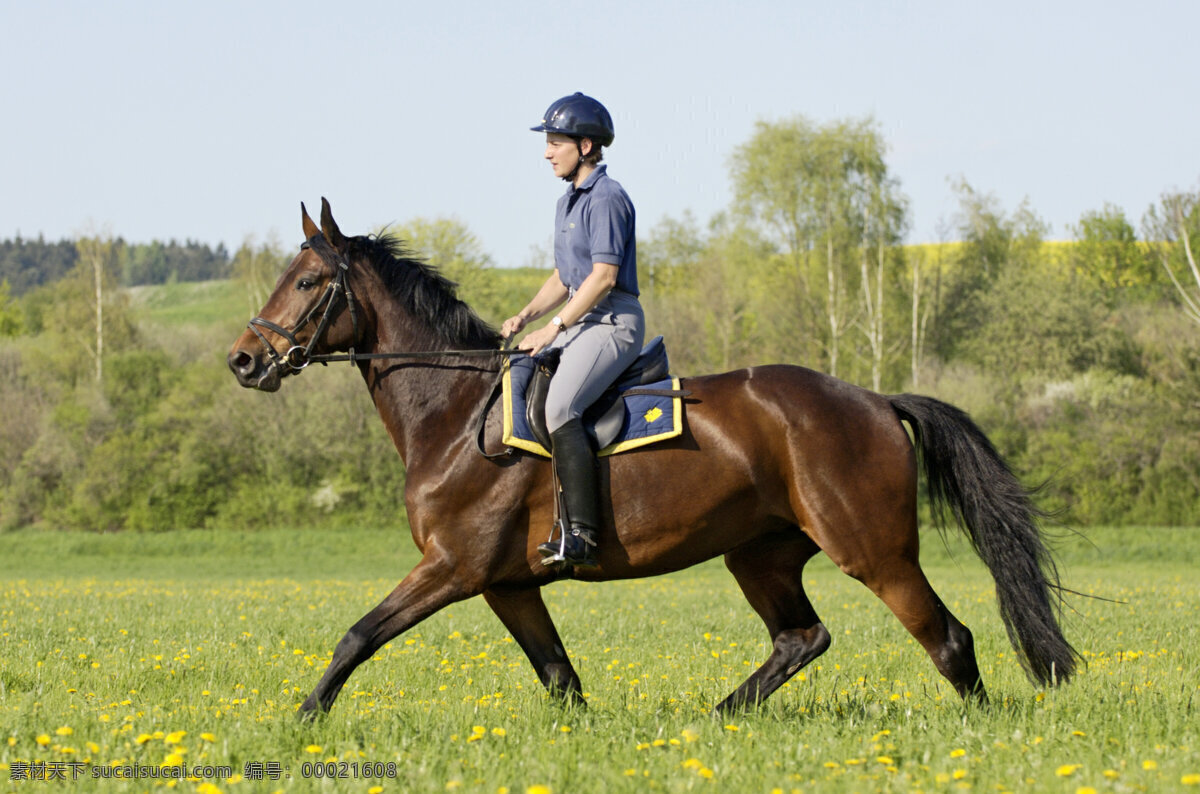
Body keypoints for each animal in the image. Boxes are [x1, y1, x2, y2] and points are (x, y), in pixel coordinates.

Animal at [225, 200, 1080, 719]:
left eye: (307, 281)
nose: (242, 361)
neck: (455, 415)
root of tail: (870, 398)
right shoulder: (506, 584)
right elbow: (561, 679)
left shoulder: (453, 568)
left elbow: (357, 636)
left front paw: (301, 722)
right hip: (760, 553)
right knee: (801, 639)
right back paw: (718, 719)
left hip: (873, 550)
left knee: (948, 639)